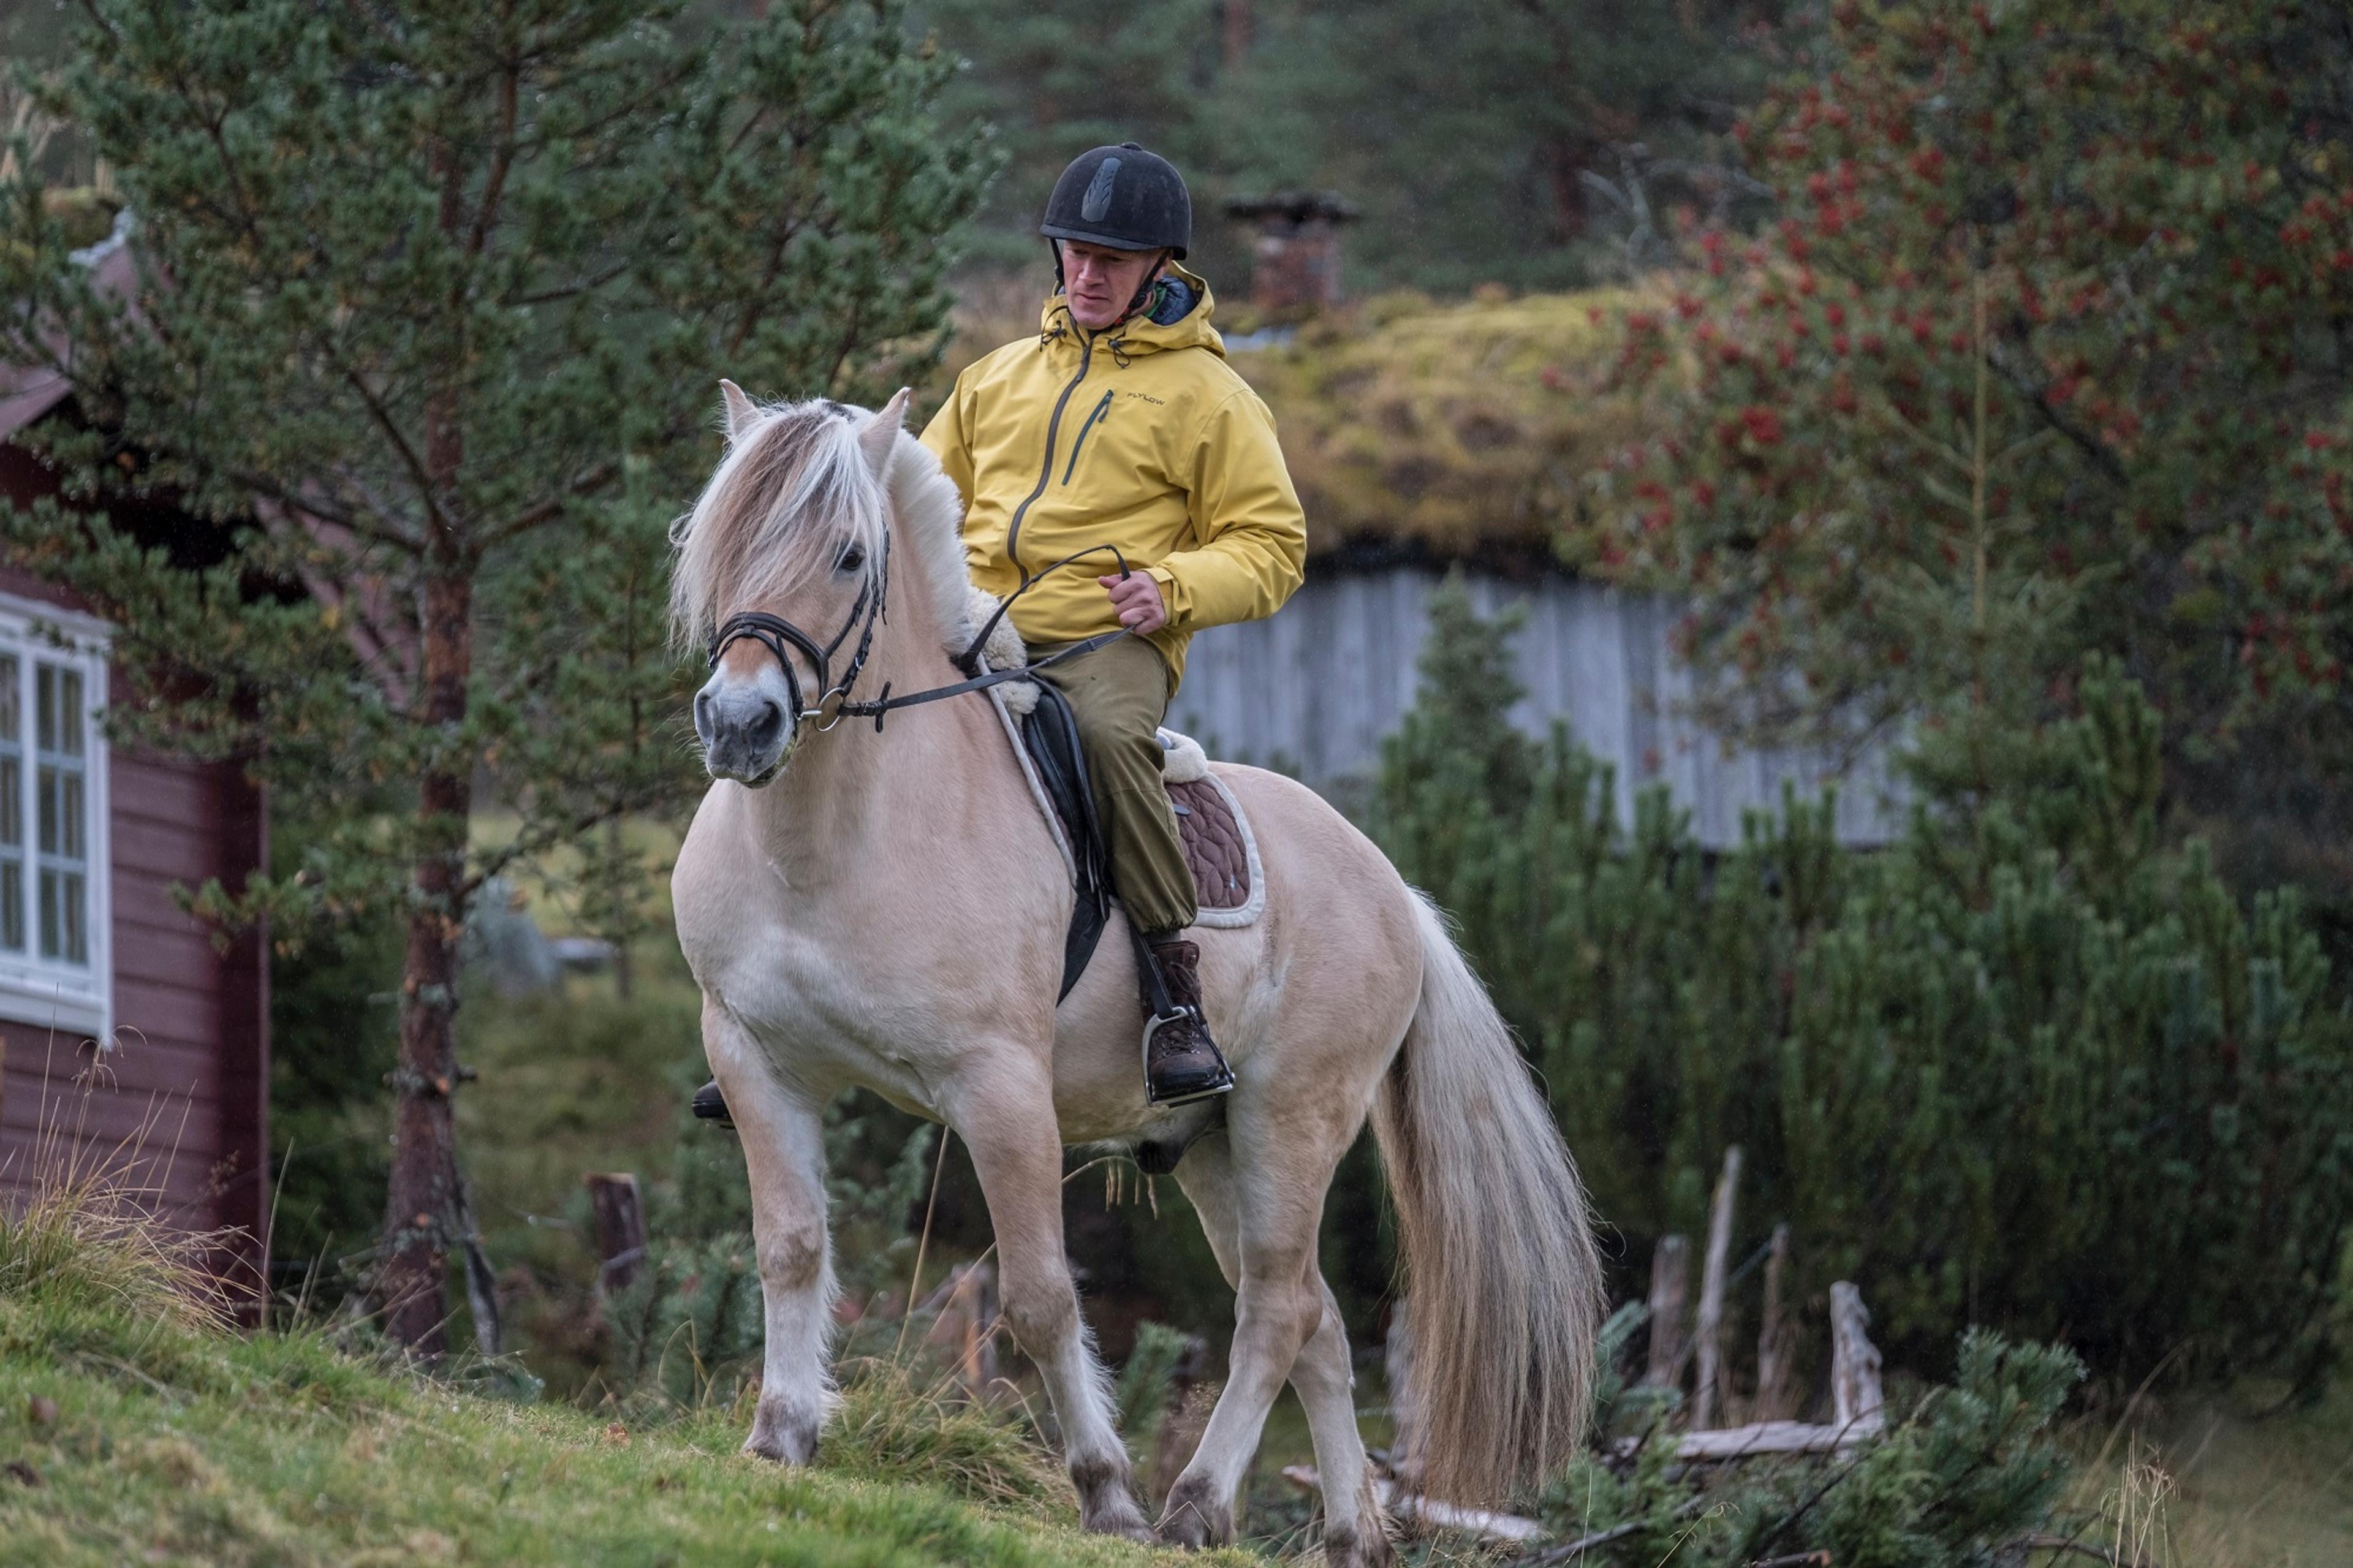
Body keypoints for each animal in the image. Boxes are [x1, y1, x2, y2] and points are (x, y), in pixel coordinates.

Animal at [668, 384, 1602, 1566]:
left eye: (848, 554)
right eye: (718, 542)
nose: (740, 724)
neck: (834, 839)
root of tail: (1397, 890)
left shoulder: (1001, 1091)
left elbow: (1039, 1298)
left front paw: (1104, 1490)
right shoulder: (754, 1057)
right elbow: (790, 1247)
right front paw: (780, 1434)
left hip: (1291, 1124)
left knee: (1277, 1313)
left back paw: (1192, 1505)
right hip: (1212, 1149)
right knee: (1316, 1319)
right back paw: (1352, 1532)